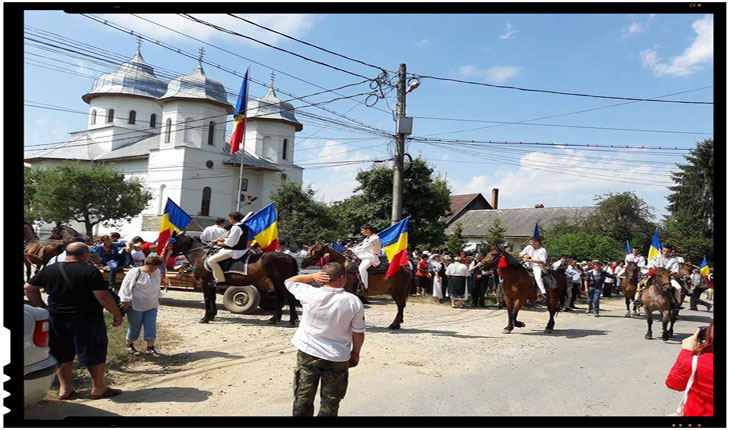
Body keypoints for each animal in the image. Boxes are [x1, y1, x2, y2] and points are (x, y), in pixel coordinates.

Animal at [168, 232, 298, 326]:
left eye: (170, 243)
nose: (168, 255)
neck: (201, 255)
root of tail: (288, 257)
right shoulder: (212, 283)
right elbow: (212, 298)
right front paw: (212, 315)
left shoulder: (204, 282)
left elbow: (207, 298)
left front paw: (205, 318)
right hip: (276, 282)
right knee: (280, 298)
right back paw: (274, 319)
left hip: (280, 281)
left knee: (290, 297)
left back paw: (291, 322)